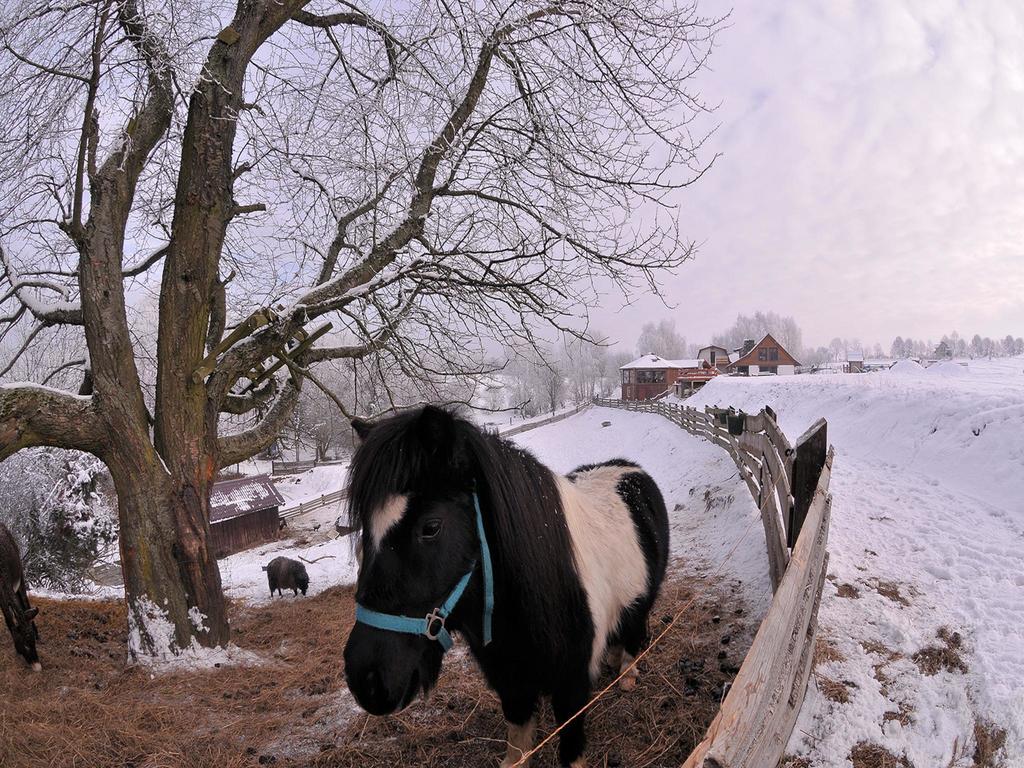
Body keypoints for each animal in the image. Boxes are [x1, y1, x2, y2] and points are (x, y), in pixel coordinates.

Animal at [339, 405, 667, 765]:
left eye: (431, 527)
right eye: (364, 529)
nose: (367, 682)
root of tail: (629, 468)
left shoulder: (572, 685)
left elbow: (570, 747)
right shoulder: (510, 681)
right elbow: (518, 743)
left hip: (643, 600)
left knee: (635, 633)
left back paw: (627, 675)